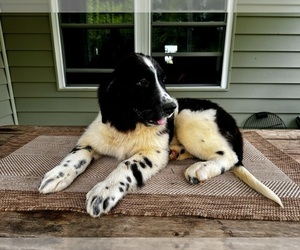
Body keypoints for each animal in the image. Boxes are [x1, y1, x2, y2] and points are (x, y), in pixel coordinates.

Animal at [39, 53, 282, 217]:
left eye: (163, 80)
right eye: (142, 82)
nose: (171, 106)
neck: (128, 123)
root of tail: (228, 118)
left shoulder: (153, 152)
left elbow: (127, 165)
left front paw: (104, 191)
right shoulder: (90, 140)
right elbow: (75, 157)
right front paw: (56, 176)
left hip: (187, 119)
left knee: (230, 156)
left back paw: (200, 169)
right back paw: (177, 153)